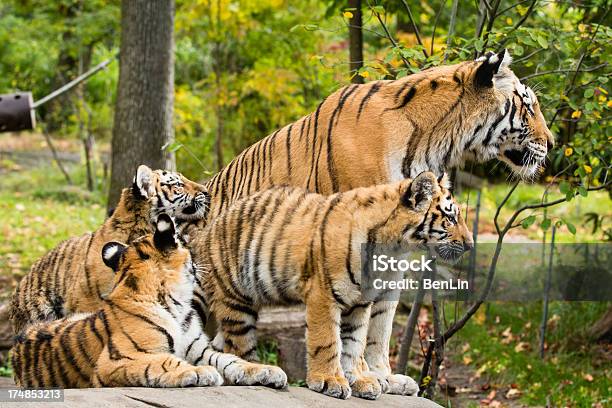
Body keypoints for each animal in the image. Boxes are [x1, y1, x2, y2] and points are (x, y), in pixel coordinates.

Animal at [196, 48, 556, 396]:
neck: (435, 145)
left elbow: (380, 320)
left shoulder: (394, 255)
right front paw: (356, 376)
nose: (552, 143)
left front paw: (383, 376)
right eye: (528, 106)